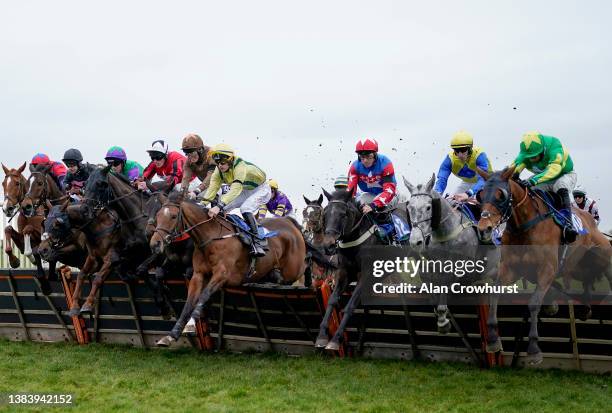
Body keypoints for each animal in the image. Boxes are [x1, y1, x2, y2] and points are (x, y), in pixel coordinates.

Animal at [152, 192, 326, 346]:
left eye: (173, 216)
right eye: (157, 216)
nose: (155, 243)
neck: (210, 237)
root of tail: (289, 222)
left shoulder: (222, 275)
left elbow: (203, 296)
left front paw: (190, 325)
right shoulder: (198, 275)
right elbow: (188, 303)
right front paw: (171, 335)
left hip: (294, 268)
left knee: (308, 259)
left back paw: (309, 283)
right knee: (283, 276)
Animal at [402, 173, 498, 332]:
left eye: (428, 207)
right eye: (409, 207)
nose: (415, 242)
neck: (446, 233)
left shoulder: (462, 268)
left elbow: (445, 282)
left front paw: (443, 321)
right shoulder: (433, 265)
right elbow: (427, 279)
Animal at [478, 166, 612, 362]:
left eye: (500, 195)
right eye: (481, 194)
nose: (484, 228)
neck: (524, 227)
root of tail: (592, 223)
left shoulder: (546, 269)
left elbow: (534, 303)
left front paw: (534, 348)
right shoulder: (511, 269)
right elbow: (495, 295)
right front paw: (493, 340)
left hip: (602, 255)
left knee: (607, 273)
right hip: (576, 267)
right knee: (586, 280)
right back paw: (585, 306)